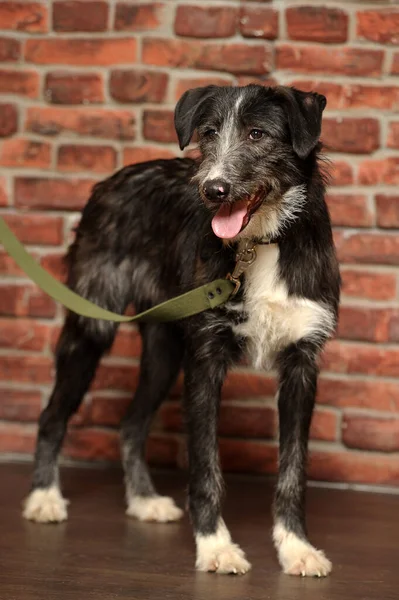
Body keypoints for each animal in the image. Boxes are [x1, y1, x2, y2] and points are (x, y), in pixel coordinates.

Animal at [22, 84, 340, 576]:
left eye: (257, 133)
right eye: (208, 133)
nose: (213, 189)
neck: (261, 244)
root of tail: (111, 180)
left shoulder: (302, 364)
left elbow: (294, 469)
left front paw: (295, 547)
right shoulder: (205, 360)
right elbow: (206, 465)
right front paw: (214, 545)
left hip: (164, 350)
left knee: (131, 424)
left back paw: (143, 500)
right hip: (93, 325)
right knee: (52, 415)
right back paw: (44, 497)